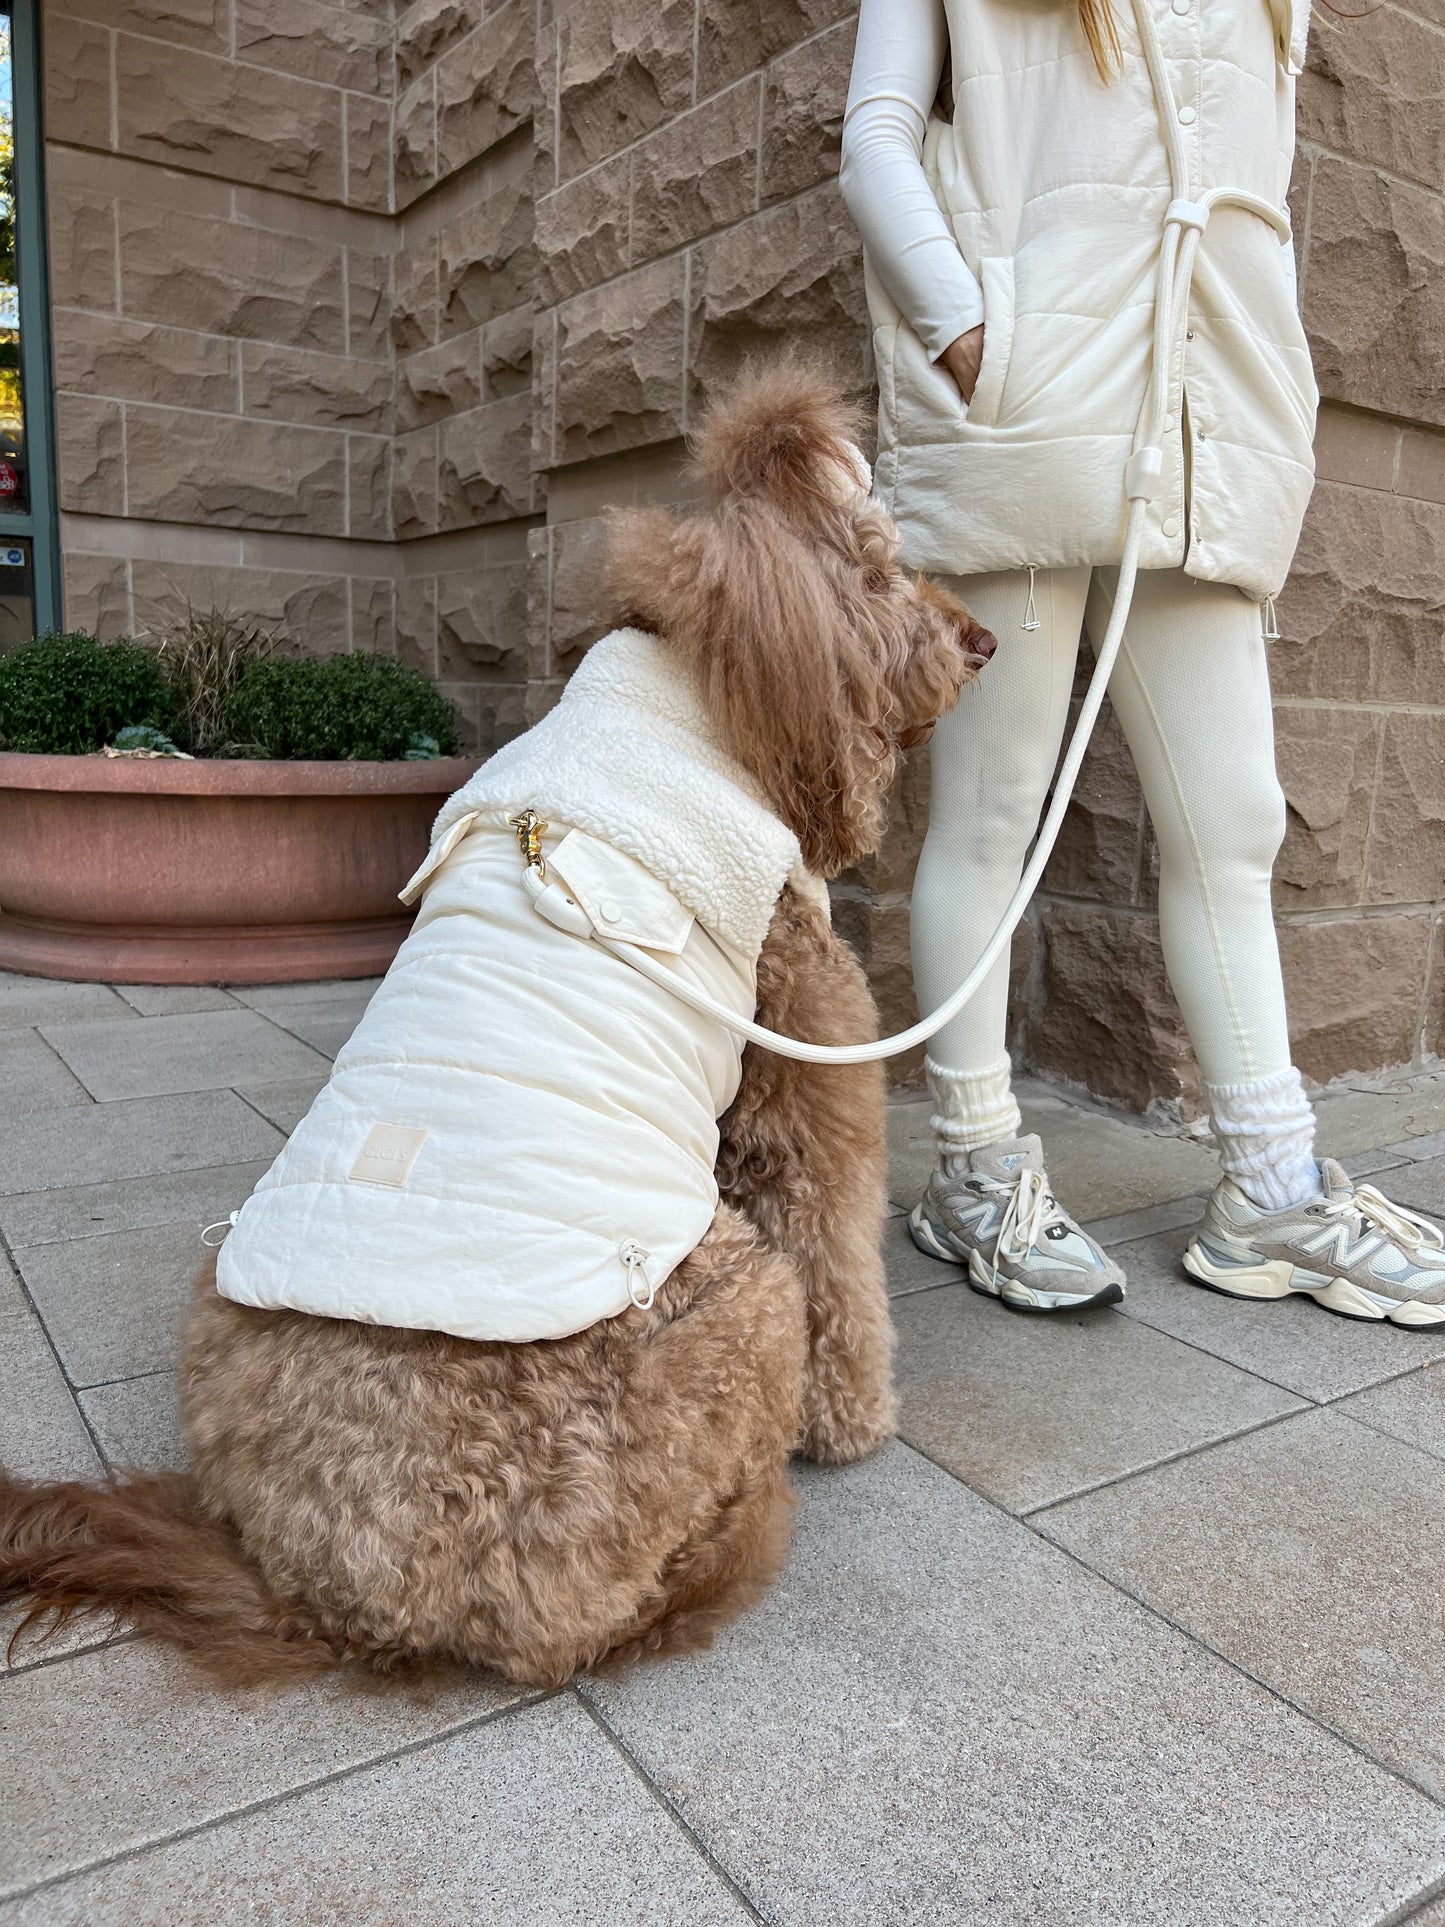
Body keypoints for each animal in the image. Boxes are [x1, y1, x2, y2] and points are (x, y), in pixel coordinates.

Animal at [0, 368, 994, 1695]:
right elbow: (836, 1247)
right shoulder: (805, 1054)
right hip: (737, 1300)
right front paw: (854, 1423)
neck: (689, 702)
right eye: (882, 576)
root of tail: (338, 1601)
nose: (983, 638)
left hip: (221, 1322)